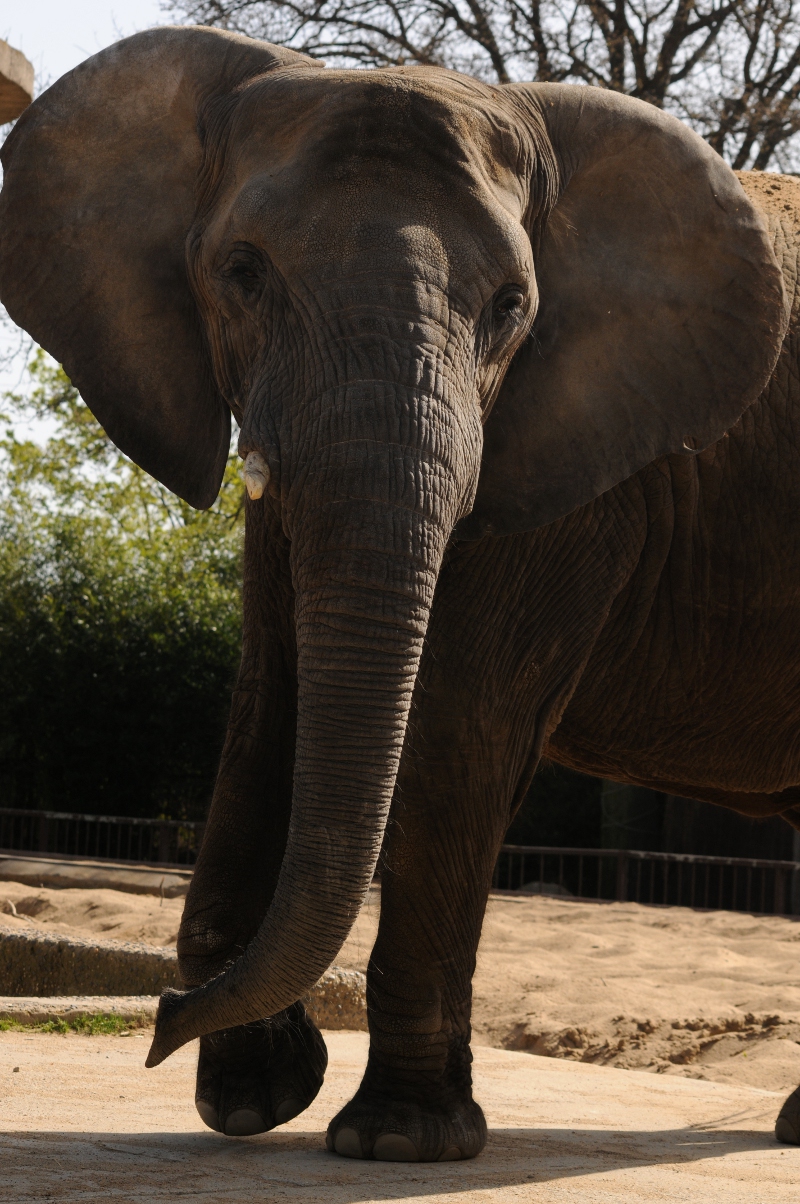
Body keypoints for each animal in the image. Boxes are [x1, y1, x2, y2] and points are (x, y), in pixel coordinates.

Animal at [2, 22, 800, 1162]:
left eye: (512, 307)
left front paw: (396, 1141)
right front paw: (251, 1098)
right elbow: (273, 697)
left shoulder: (584, 466)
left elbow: (459, 724)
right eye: (240, 273)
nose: (155, 1020)